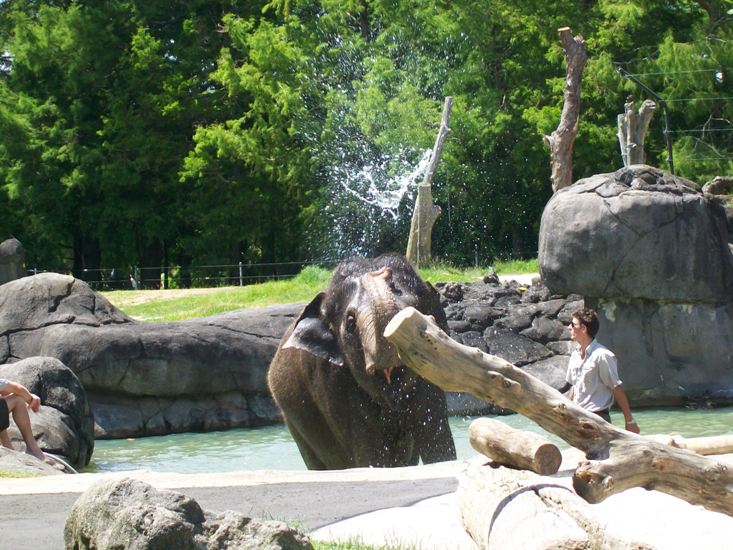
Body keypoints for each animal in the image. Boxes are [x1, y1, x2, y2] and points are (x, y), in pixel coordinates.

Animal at [267, 254, 456, 470]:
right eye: (351, 323)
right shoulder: (333, 386)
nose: (380, 272)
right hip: (294, 422)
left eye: (415, 312)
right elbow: (372, 456)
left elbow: (438, 443)